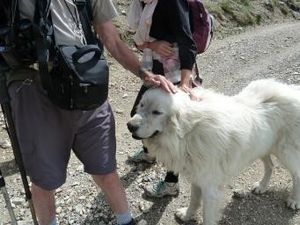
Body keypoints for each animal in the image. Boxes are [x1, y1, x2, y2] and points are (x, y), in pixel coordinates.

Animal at [127, 79, 300, 225]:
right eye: (141, 105)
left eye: (157, 112)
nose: (130, 125)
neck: (187, 132)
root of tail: (293, 91)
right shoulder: (197, 177)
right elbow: (194, 200)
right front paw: (187, 215)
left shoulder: (210, 188)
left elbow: (207, 216)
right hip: (261, 146)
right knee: (270, 166)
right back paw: (262, 186)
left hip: (286, 152)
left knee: (296, 173)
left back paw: (294, 200)